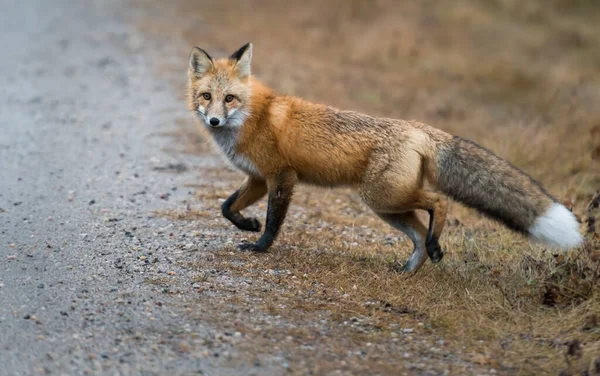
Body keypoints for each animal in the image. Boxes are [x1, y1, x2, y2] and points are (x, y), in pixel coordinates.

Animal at [186, 43, 580, 274]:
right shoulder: (257, 178)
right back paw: (412, 267)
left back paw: (434, 247)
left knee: (439, 202)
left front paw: (260, 246)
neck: (252, 117)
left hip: (382, 197)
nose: (214, 121)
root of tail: (418, 128)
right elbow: (227, 207)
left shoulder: (281, 177)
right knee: (419, 233)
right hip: (387, 206)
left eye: (230, 98)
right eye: (206, 96)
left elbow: (273, 222)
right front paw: (247, 224)